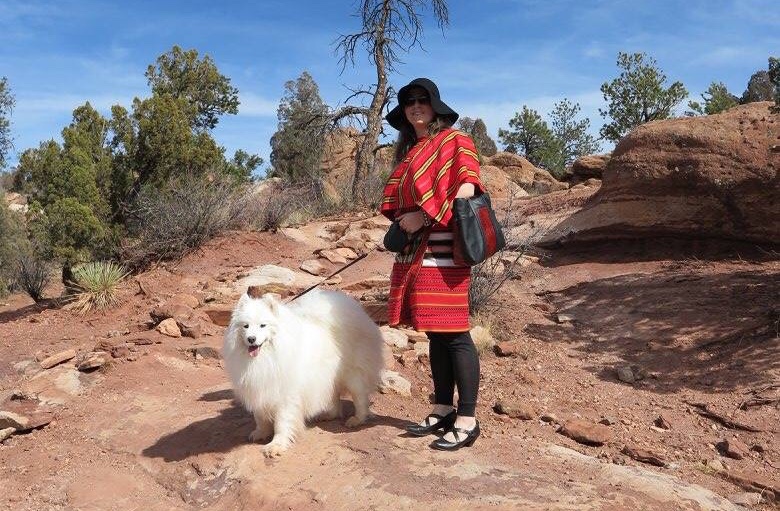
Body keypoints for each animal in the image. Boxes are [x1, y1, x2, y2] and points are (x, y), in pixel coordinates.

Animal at [222, 286, 384, 458]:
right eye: (245, 326)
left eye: (262, 325)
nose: (251, 339)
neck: (265, 357)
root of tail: (356, 310)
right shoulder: (259, 388)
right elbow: (260, 417)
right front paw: (260, 433)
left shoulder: (285, 395)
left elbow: (281, 423)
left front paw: (276, 445)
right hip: (327, 376)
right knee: (334, 395)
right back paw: (329, 415)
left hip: (353, 375)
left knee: (360, 399)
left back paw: (357, 420)